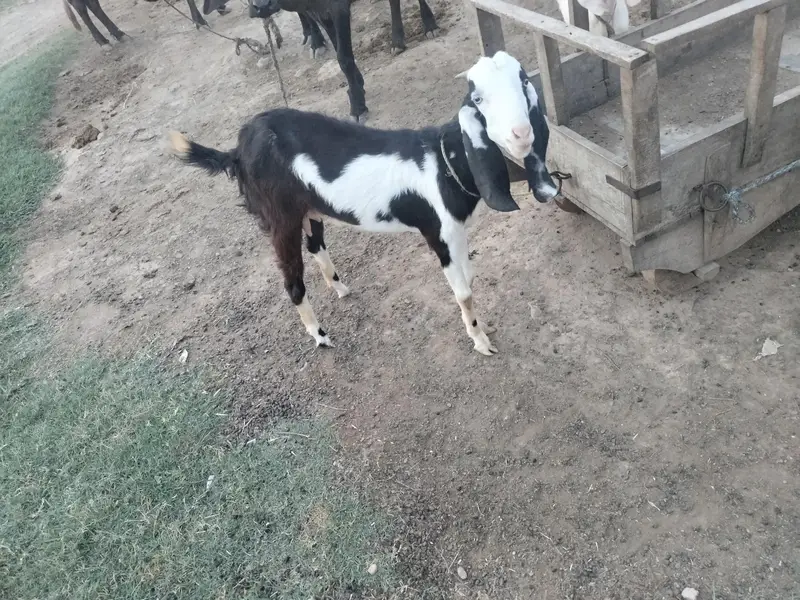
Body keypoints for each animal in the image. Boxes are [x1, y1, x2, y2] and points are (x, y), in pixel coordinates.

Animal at [169, 51, 559, 356]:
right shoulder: (438, 232)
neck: (444, 160)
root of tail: (238, 148)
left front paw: (483, 328)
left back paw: (340, 287)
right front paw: (480, 341)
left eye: (524, 82)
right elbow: (462, 292)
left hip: (311, 208)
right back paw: (320, 336)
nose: (521, 134)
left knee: (316, 245)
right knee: (293, 282)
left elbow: (471, 278)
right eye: (477, 98)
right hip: (279, 218)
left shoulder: (458, 231)